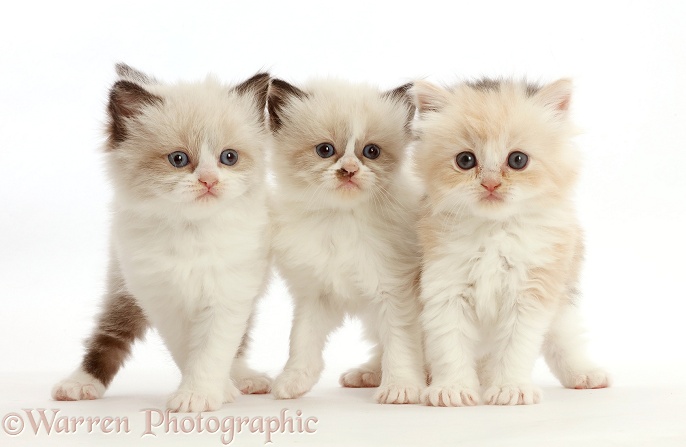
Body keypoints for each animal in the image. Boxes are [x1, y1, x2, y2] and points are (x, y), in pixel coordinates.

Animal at [52, 64, 272, 412]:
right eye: (179, 159)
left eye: (229, 158)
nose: (209, 181)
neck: (191, 232)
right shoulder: (162, 298)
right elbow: (187, 350)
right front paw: (210, 392)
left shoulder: (229, 293)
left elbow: (213, 349)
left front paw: (203, 393)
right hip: (122, 285)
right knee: (110, 332)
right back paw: (80, 384)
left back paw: (244, 378)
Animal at [268, 79, 424, 404]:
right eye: (325, 150)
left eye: (371, 151)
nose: (349, 170)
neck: (340, 220)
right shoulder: (314, 294)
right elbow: (302, 342)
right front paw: (293, 381)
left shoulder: (396, 293)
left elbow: (400, 345)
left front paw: (401, 387)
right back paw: (367, 375)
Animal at [414, 79, 612, 408]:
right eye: (465, 160)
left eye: (518, 160)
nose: (491, 184)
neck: (494, 232)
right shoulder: (445, 288)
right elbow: (449, 345)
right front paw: (453, 388)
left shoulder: (531, 292)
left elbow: (515, 347)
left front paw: (510, 388)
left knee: (563, 339)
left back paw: (584, 374)